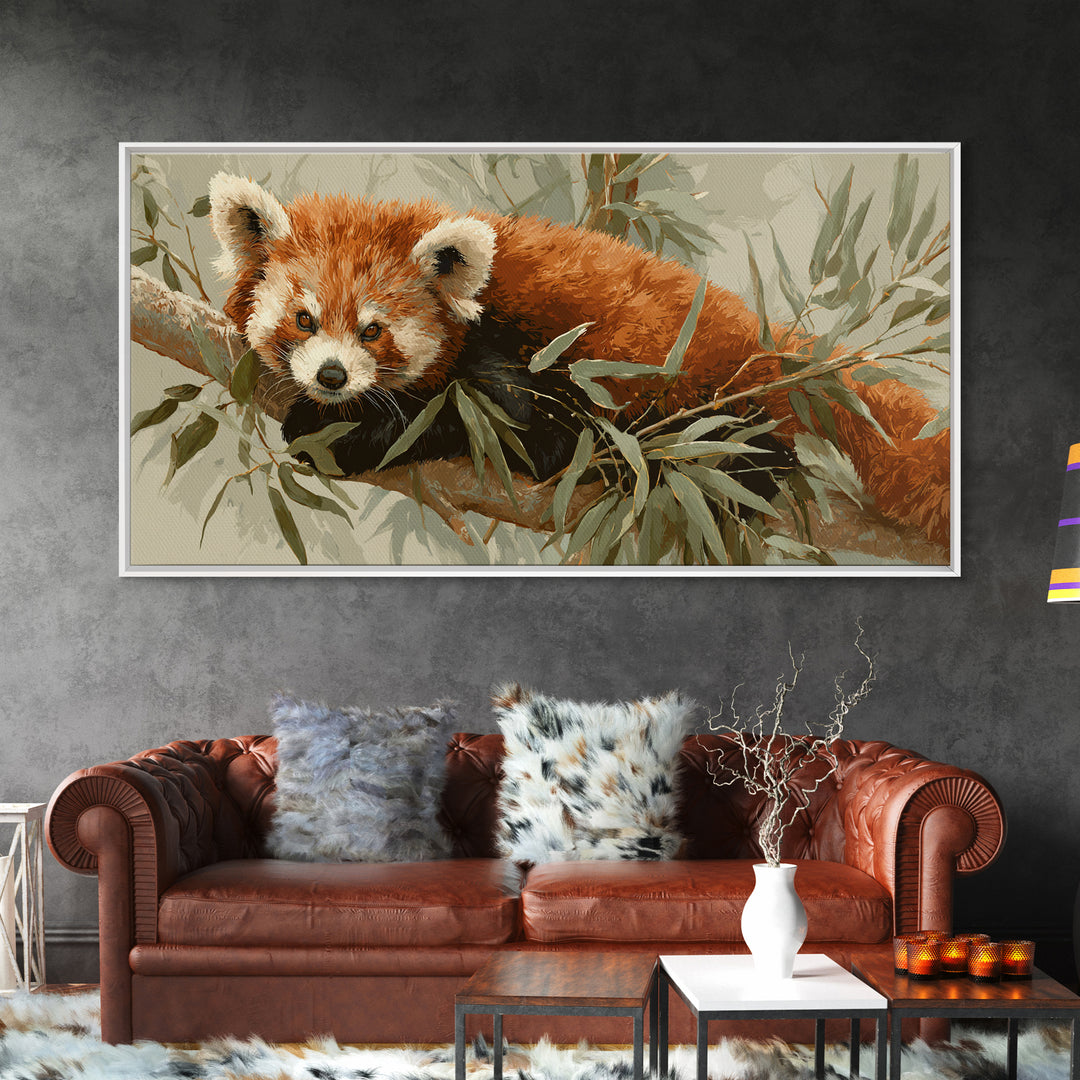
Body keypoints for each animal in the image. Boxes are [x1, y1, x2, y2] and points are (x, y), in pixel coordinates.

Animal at [208, 172, 949, 545]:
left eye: (372, 331)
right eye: (304, 320)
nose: (331, 377)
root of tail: (768, 338)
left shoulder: (516, 351)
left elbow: (514, 429)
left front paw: (337, 434)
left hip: (705, 393)